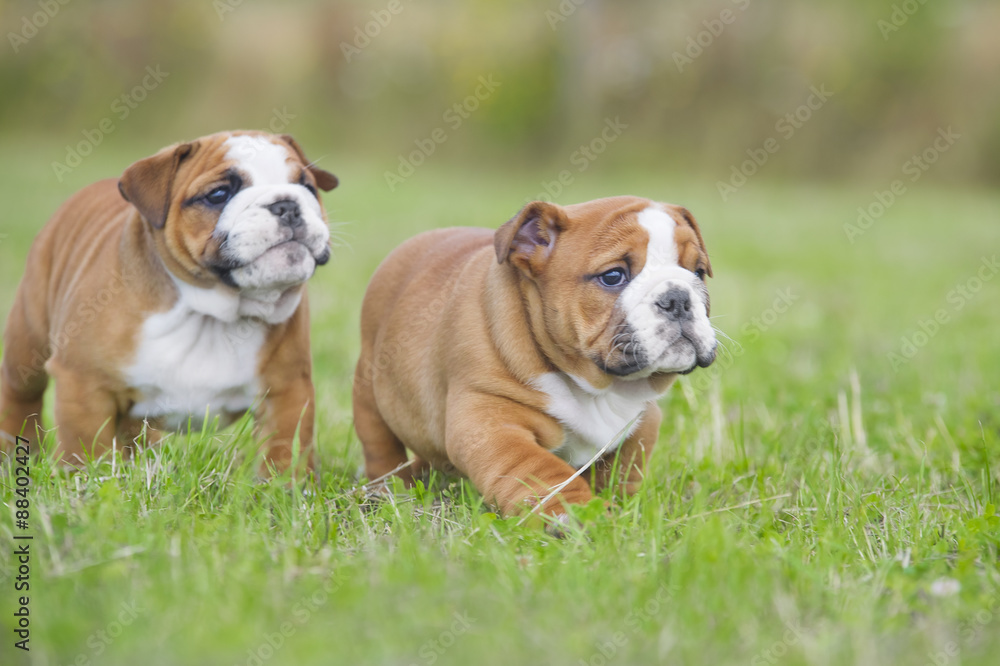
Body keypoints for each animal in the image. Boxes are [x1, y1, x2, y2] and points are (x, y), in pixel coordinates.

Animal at [0, 130, 338, 470]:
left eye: (308, 187)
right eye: (219, 194)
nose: (286, 204)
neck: (210, 311)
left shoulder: (287, 390)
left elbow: (285, 450)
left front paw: (286, 482)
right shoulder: (85, 385)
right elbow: (85, 450)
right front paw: (86, 478)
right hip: (27, 340)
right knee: (21, 394)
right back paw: (15, 454)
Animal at [356, 195, 716, 516]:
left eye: (698, 272)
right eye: (613, 276)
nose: (677, 298)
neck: (596, 386)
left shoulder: (643, 422)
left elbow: (624, 469)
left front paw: (623, 507)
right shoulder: (491, 423)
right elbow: (540, 471)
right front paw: (574, 513)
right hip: (370, 390)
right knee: (380, 445)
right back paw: (388, 488)